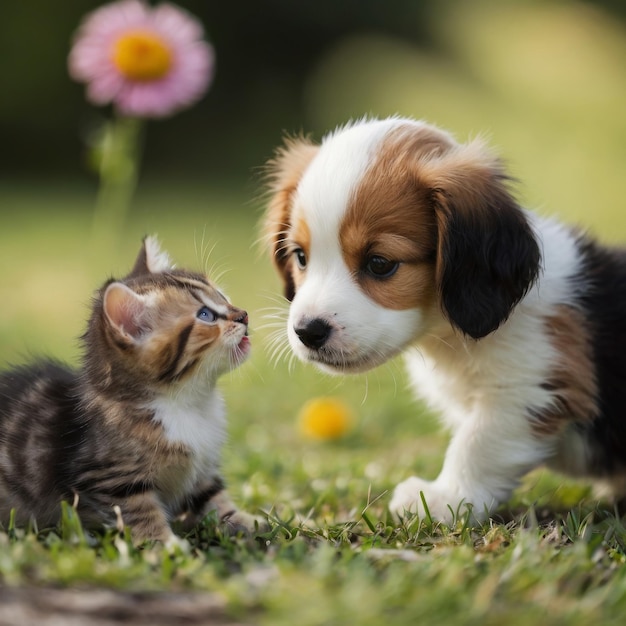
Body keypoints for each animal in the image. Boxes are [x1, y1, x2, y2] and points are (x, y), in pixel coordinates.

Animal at [0, 236, 260, 540]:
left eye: (221, 295)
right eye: (205, 315)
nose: (244, 315)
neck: (189, 402)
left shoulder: (203, 469)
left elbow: (211, 497)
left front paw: (247, 521)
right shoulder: (110, 477)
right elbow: (139, 511)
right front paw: (165, 544)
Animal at [262, 116, 624, 520]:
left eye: (380, 263)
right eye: (300, 256)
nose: (307, 331)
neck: (451, 336)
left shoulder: (533, 384)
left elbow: (477, 443)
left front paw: (443, 498)